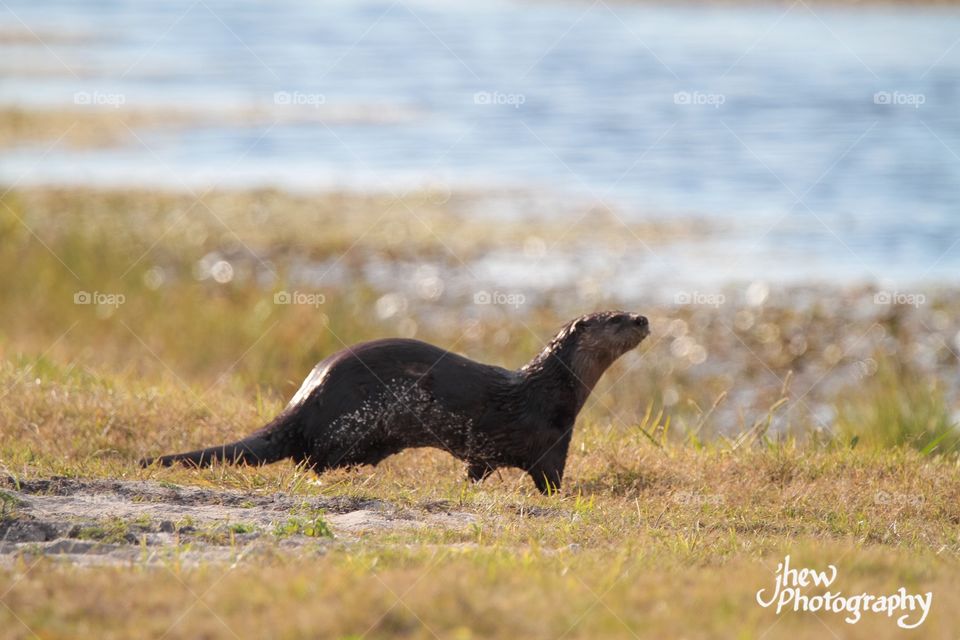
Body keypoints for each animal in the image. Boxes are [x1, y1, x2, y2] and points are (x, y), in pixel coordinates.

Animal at [142, 312, 648, 492]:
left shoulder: (486, 452)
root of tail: (305, 397)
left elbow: (476, 469)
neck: (550, 390)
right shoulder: (551, 440)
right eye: (617, 318)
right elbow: (550, 480)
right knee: (311, 459)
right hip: (348, 425)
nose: (644, 318)